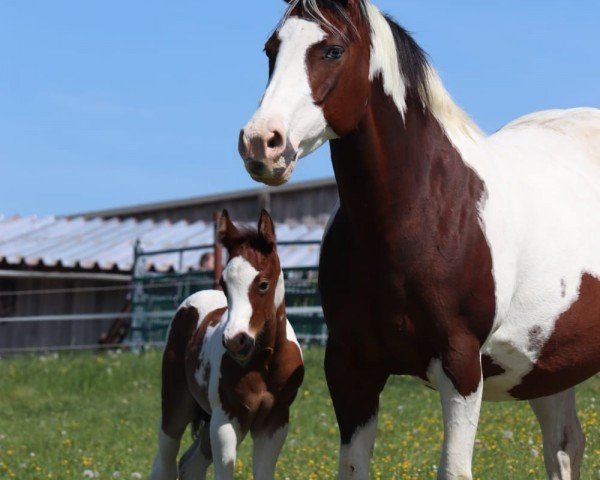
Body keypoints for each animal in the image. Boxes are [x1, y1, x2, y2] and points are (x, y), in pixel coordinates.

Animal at [148, 210, 302, 480]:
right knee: (165, 461)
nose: (235, 340)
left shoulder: (276, 420)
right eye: (224, 282)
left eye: (263, 284)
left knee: (191, 465)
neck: (263, 361)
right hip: (176, 404)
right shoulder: (226, 416)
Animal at [238, 0, 600, 480]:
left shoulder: (460, 367)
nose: (261, 144)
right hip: (549, 366)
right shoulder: (350, 367)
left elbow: (454, 469)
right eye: (270, 49)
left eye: (332, 50)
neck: (420, 214)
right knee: (563, 448)